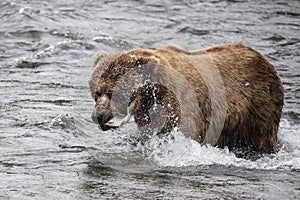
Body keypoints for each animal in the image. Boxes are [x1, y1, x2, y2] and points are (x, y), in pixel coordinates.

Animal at [88, 43, 284, 153]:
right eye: (97, 92)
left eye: (113, 92)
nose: (98, 116)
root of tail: (264, 60)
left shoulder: (187, 111)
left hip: (258, 109)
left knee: (263, 137)